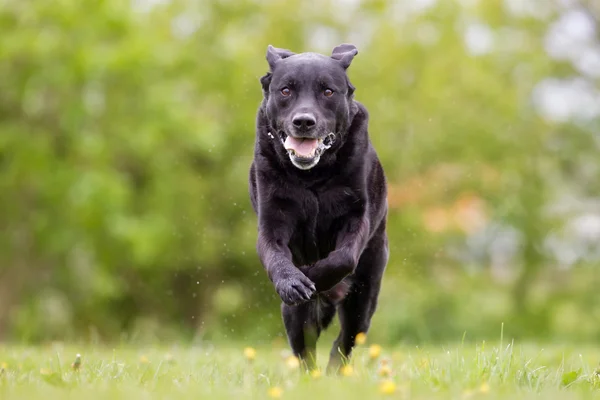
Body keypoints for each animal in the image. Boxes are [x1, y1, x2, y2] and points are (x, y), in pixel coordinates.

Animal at [248, 43, 390, 372]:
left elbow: (343, 257)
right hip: (293, 315)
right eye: (286, 90)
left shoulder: (357, 217)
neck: (312, 176)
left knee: (346, 340)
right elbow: (276, 257)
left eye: (327, 91)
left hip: (364, 297)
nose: (303, 121)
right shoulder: (271, 223)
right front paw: (294, 281)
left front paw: (314, 274)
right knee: (304, 350)